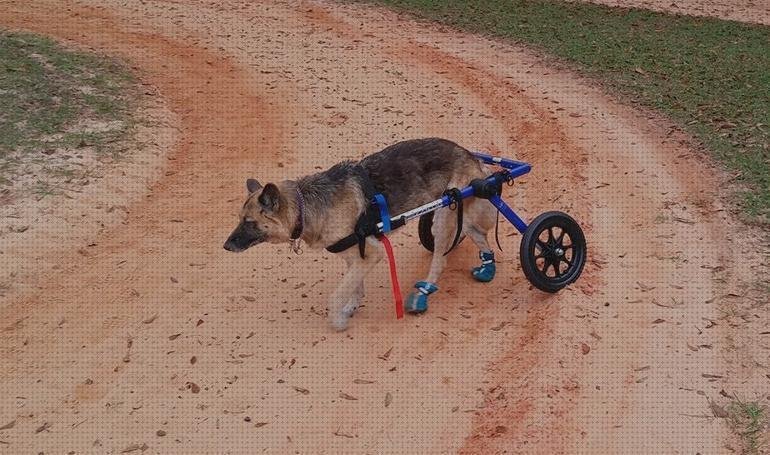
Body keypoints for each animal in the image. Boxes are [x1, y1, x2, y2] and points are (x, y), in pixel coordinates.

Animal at [225, 137, 496, 330]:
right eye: (239, 219)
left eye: (249, 222)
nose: (225, 247)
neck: (305, 205)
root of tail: (469, 154)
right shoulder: (355, 255)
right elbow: (354, 286)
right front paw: (351, 307)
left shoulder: (371, 255)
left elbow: (336, 295)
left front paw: (338, 320)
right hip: (456, 213)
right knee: (478, 234)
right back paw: (487, 267)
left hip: (444, 212)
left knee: (441, 261)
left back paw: (423, 293)